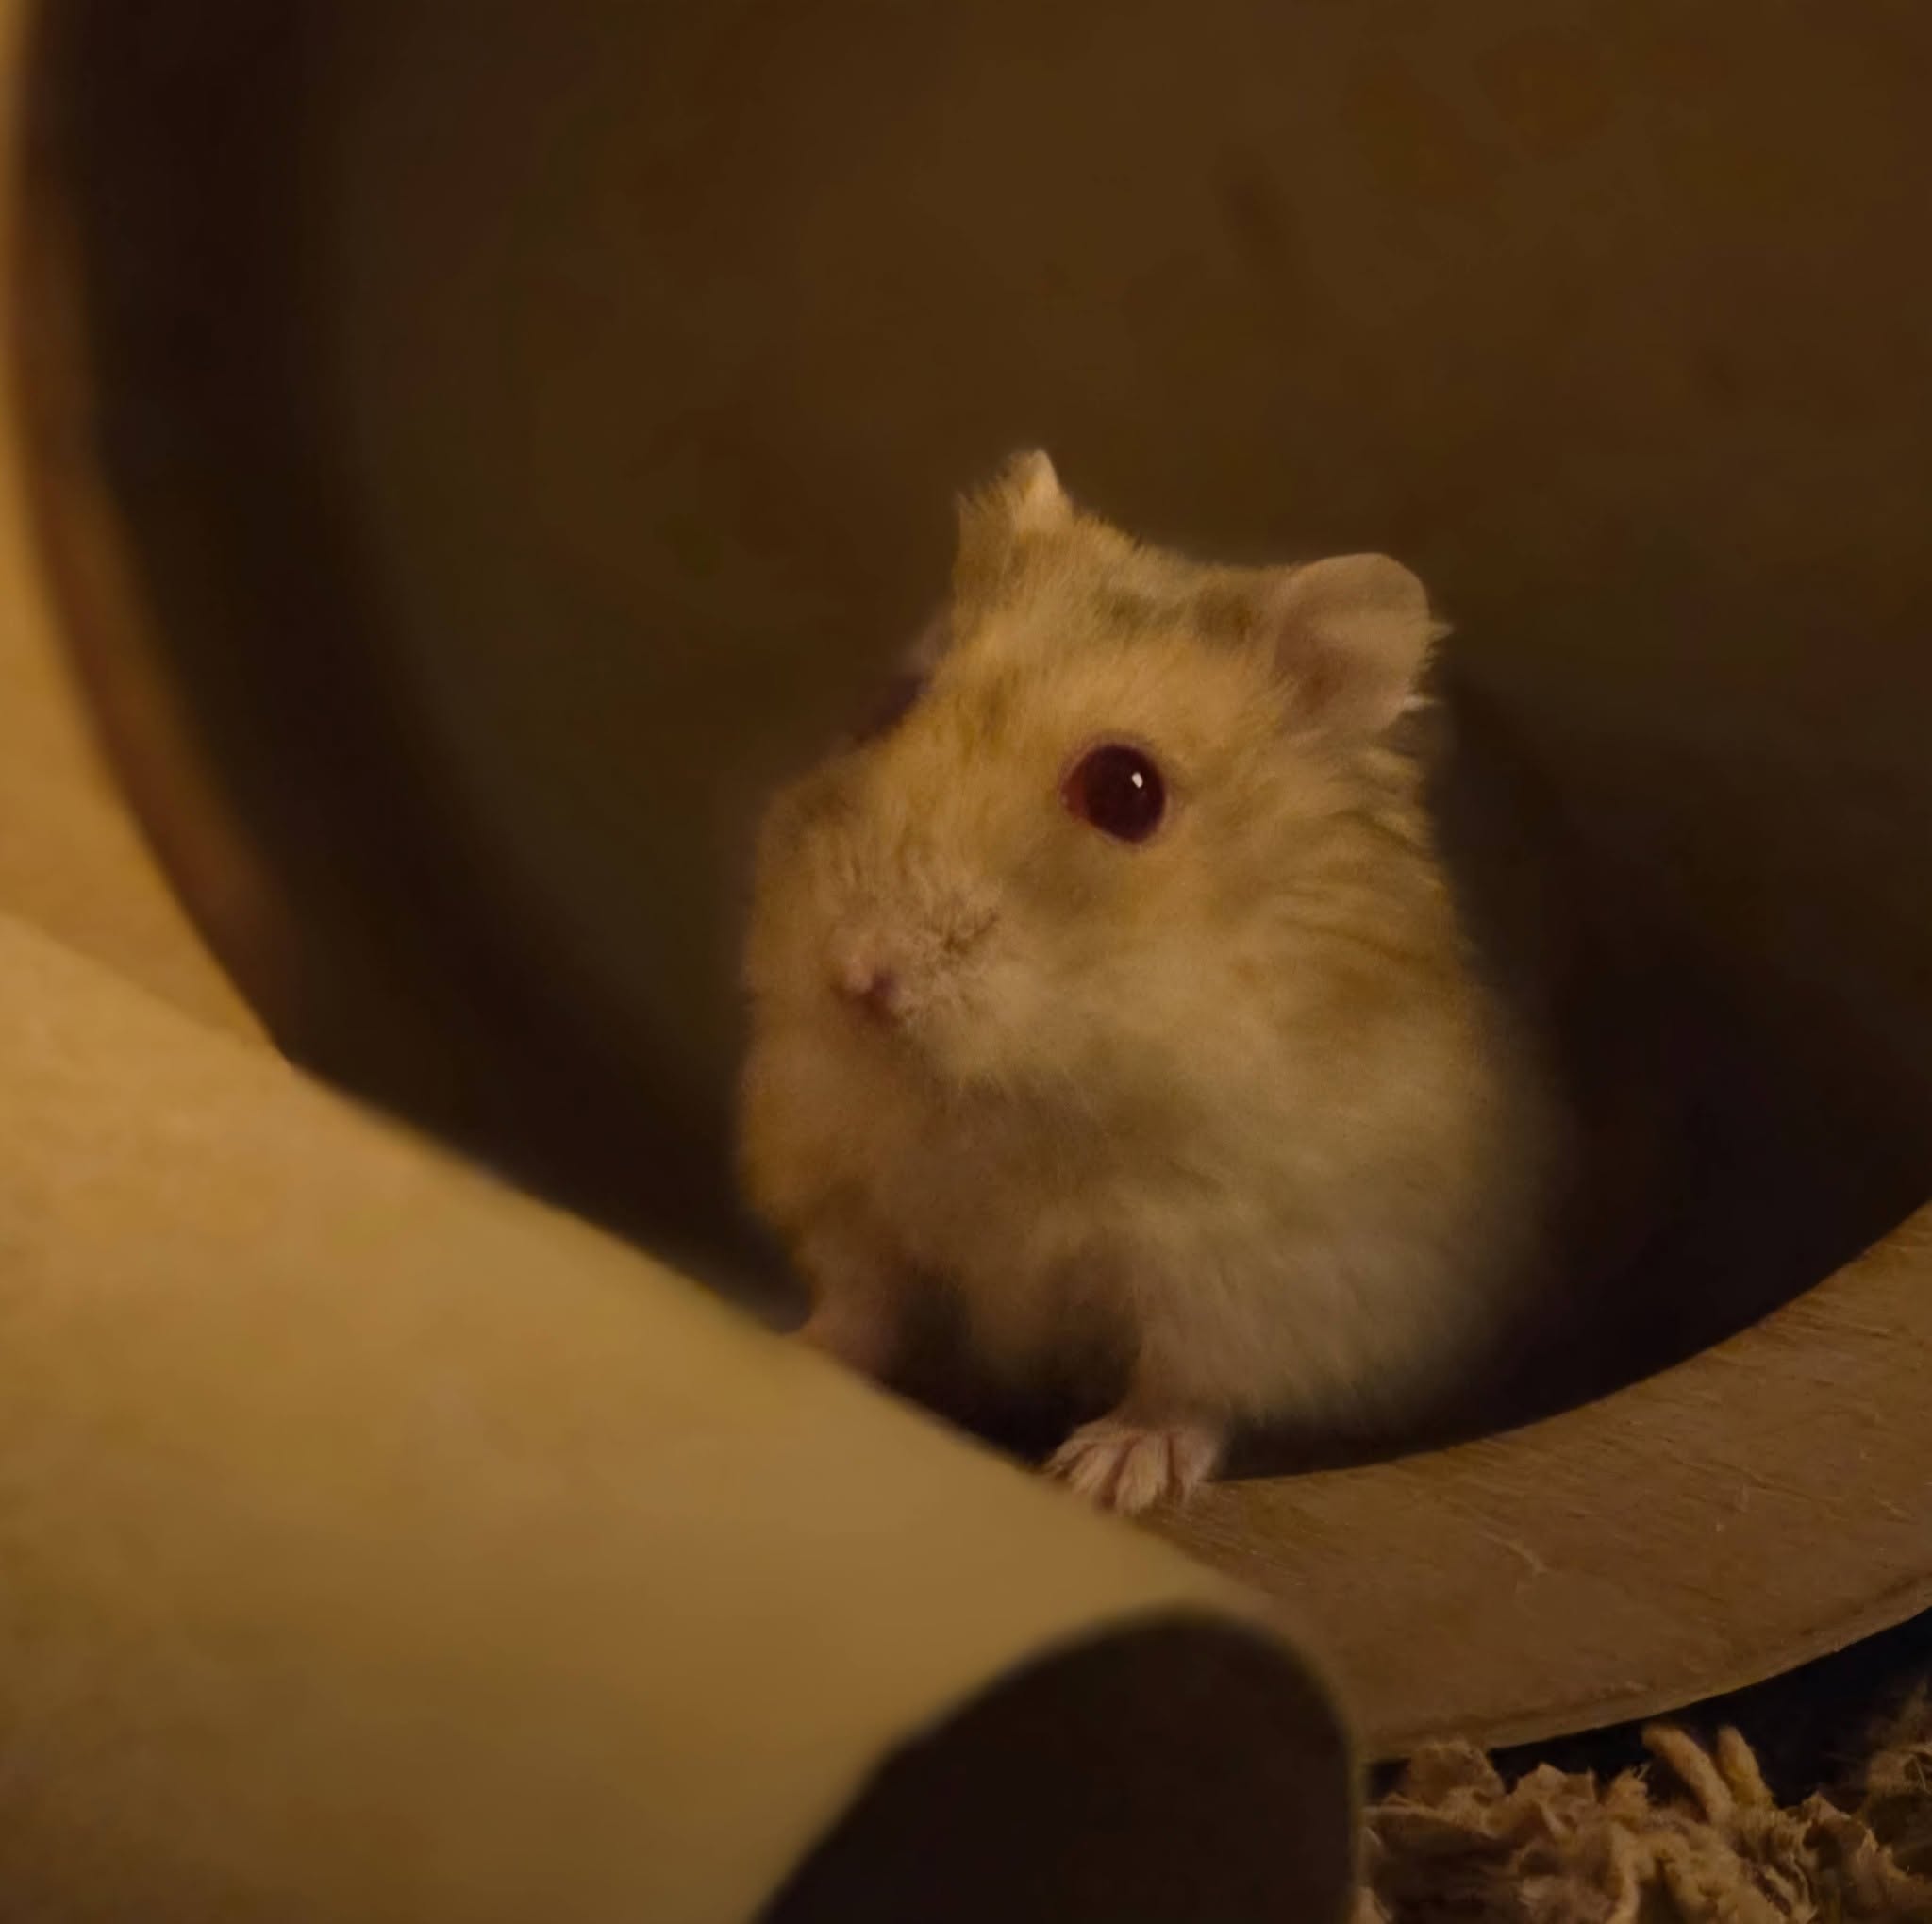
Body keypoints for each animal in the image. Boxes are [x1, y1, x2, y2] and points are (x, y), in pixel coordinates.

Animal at [738, 452, 1570, 1514]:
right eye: (895, 699)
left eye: (1123, 791)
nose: (853, 974)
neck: (1019, 1093)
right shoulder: (839, 1179)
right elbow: (860, 1303)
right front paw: (787, 1346)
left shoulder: (1254, 1272)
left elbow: (1185, 1384)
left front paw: (1102, 1474)